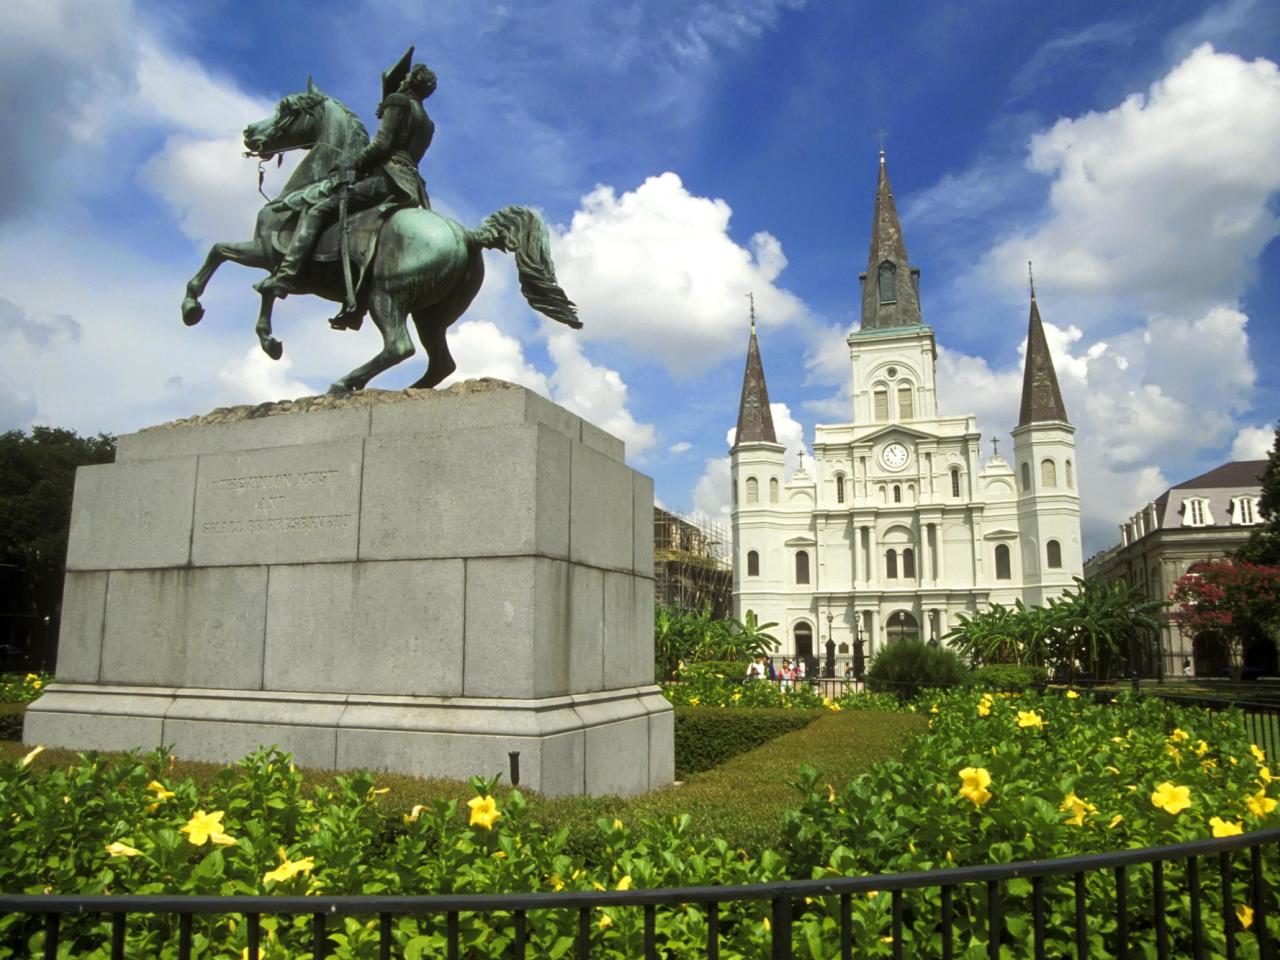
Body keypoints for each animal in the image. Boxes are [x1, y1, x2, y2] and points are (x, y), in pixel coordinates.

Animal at [180, 79, 581, 394]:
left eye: (286, 108)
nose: (250, 132)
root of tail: (468, 235)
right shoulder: (271, 259)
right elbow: (232, 262)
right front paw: (222, 320)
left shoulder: (269, 253)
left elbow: (243, 269)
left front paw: (206, 314)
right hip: (431, 314)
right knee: (440, 362)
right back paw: (409, 390)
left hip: (385, 294)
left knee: (400, 347)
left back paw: (346, 382)